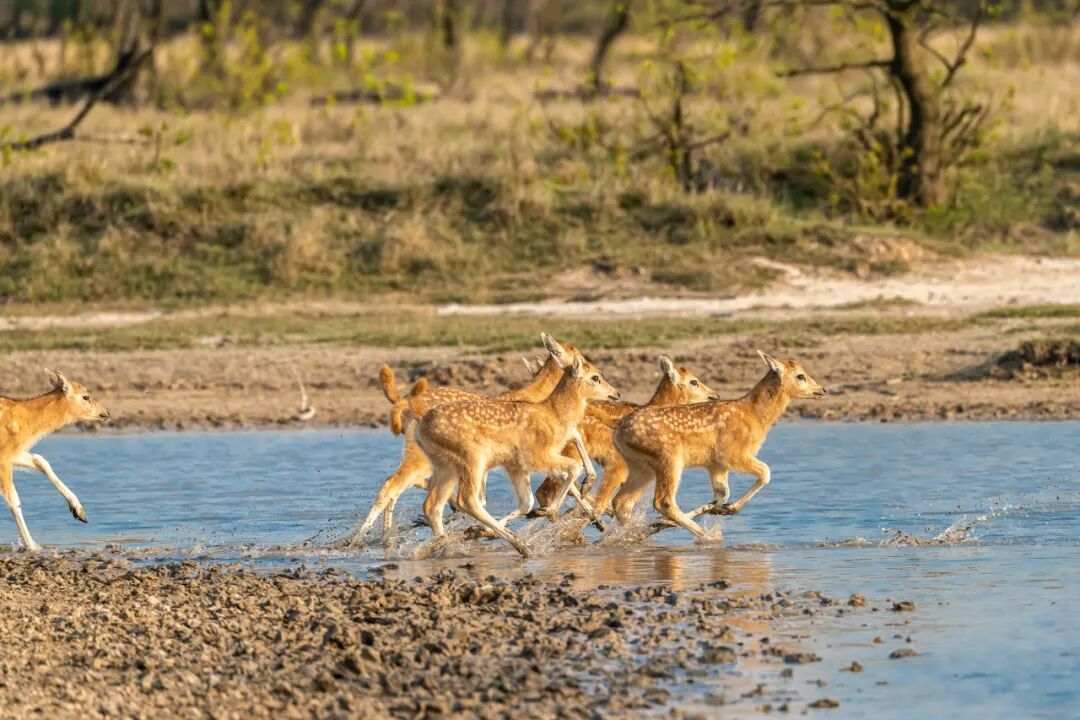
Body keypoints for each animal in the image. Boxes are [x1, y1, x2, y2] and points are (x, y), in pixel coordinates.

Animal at [1, 370, 110, 552]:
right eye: (85, 396)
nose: (106, 412)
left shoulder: (13, 453)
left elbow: (41, 460)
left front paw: (79, 512)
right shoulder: (3, 458)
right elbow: (13, 500)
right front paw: (33, 546)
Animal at [352, 335, 596, 541]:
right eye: (580, 355)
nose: (589, 366)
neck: (538, 398)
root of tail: (402, 403)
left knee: (407, 487)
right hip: (421, 457)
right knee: (393, 485)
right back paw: (359, 540)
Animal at [415, 334, 621, 558]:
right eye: (595, 377)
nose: (616, 393)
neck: (553, 414)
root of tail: (421, 428)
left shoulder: (516, 466)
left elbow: (526, 502)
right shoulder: (537, 456)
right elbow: (574, 468)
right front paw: (547, 510)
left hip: (446, 466)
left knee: (432, 505)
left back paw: (443, 544)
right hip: (472, 458)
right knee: (467, 500)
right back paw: (520, 545)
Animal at [612, 351, 825, 538]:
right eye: (800, 376)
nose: (822, 390)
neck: (755, 416)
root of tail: (619, 431)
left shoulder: (716, 464)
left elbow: (722, 494)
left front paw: (720, 510)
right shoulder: (732, 454)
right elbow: (765, 472)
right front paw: (731, 509)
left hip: (641, 466)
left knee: (622, 501)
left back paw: (638, 533)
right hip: (669, 457)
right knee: (663, 501)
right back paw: (704, 536)